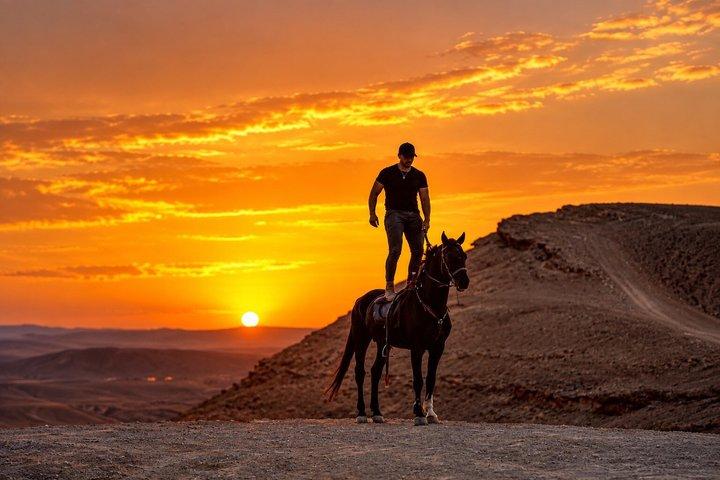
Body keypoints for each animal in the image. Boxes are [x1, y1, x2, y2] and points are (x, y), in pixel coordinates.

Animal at [326, 231, 470, 425]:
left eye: (464, 256)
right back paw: (362, 413)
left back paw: (377, 413)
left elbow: (431, 379)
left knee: (376, 371)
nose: (464, 282)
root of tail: (360, 300)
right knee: (360, 372)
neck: (429, 305)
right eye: (449, 256)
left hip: (382, 343)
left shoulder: (438, 347)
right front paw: (419, 414)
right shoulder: (417, 348)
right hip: (361, 339)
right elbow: (418, 379)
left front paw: (431, 413)